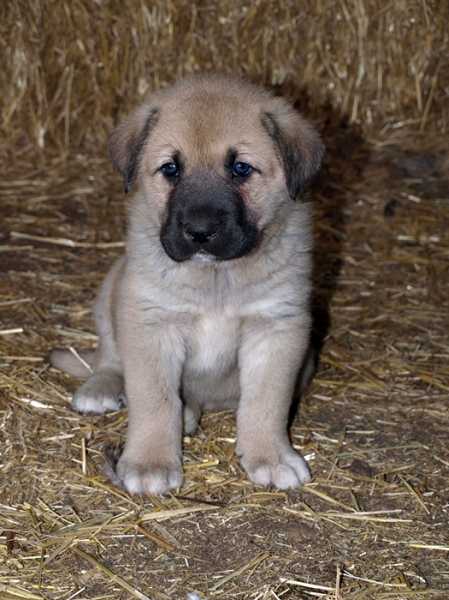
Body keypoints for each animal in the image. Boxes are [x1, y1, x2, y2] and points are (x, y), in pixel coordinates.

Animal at [50, 75, 324, 494]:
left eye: (241, 168)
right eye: (170, 169)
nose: (199, 231)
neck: (216, 277)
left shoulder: (277, 328)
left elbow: (267, 401)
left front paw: (271, 456)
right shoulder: (151, 323)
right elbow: (154, 400)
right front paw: (150, 461)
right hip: (113, 287)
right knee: (108, 357)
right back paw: (102, 388)